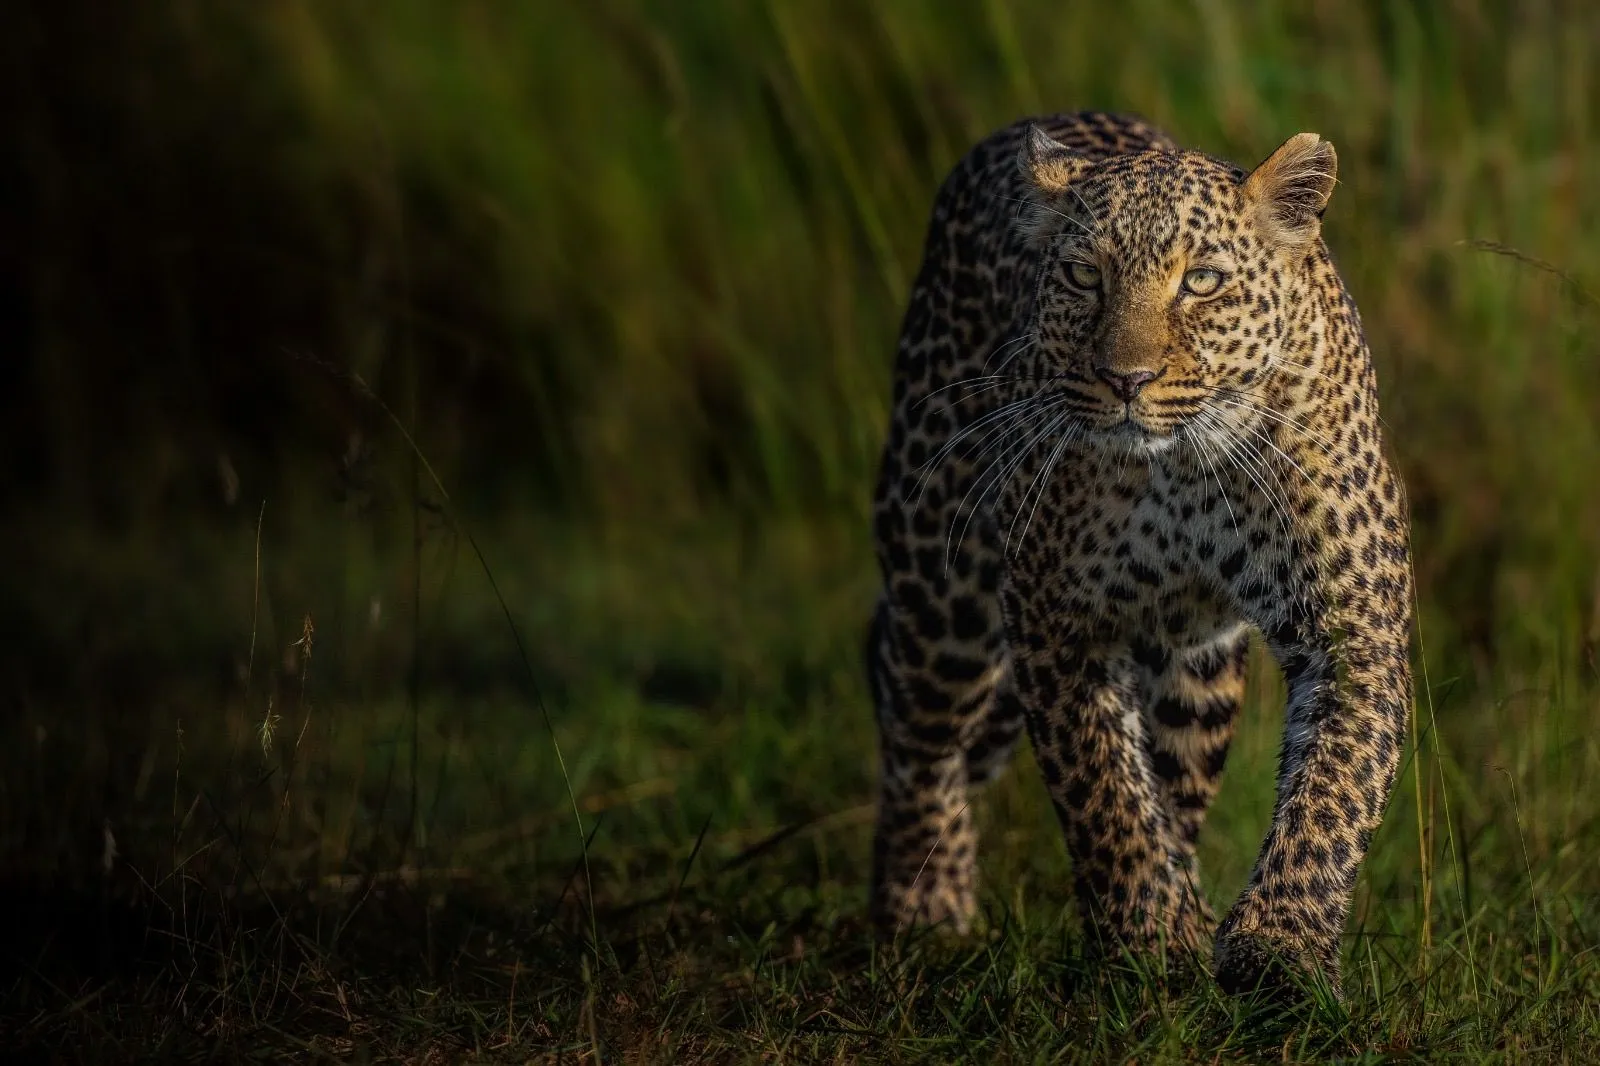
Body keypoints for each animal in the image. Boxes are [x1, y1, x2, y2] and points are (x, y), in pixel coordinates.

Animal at [866, 110, 1413, 997]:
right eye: (1085, 276)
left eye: (1202, 282)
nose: (1127, 378)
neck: (1186, 465)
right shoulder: (1054, 618)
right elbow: (1105, 793)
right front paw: (1151, 940)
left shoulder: (1351, 627)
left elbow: (1332, 792)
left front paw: (1279, 948)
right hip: (941, 584)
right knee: (920, 733)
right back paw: (924, 907)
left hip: (1200, 674)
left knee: (1176, 781)